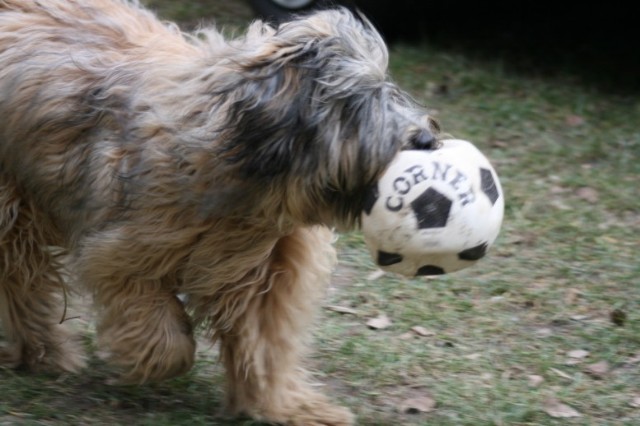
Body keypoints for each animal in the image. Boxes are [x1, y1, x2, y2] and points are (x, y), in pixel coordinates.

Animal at [0, 1, 439, 424]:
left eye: (386, 89)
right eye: (355, 102)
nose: (426, 138)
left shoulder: (267, 273)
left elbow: (265, 346)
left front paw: (288, 406)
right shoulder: (122, 254)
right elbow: (162, 331)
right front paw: (150, 361)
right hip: (15, 207)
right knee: (22, 279)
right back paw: (47, 352)